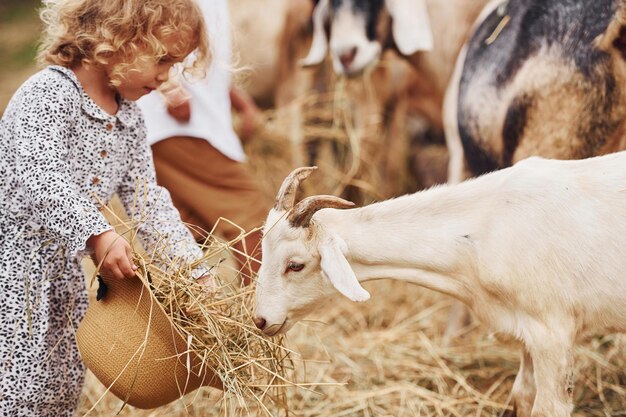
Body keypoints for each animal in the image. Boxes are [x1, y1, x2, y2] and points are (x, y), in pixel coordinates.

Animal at [254, 156, 624, 416]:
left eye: (295, 264)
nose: (260, 320)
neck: (486, 225)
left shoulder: (552, 333)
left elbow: (549, 408)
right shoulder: (528, 335)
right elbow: (520, 396)